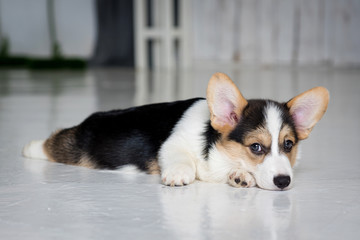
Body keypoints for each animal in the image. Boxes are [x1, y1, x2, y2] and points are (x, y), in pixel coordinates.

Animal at [23, 73, 330, 191]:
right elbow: (181, 159)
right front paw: (179, 174)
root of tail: (91, 119)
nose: (283, 182)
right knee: (55, 141)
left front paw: (241, 176)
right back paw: (30, 147)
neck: (216, 149)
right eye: (256, 147)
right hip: (76, 145)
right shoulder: (173, 143)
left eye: (288, 144)